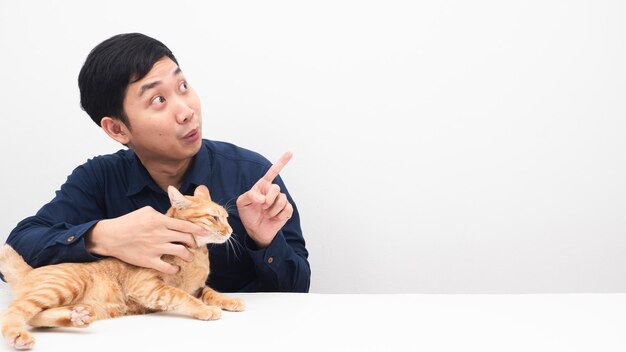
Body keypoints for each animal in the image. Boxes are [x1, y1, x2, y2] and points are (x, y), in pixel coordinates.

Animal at [0, 186, 244, 350]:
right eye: (214, 218)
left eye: (226, 217)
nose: (231, 230)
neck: (196, 257)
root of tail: (30, 270)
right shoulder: (149, 287)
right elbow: (181, 296)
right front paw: (206, 310)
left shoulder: (197, 287)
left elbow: (211, 292)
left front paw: (230, 300)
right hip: (64, 286)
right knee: (15, 311)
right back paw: (18, 335)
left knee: (35, 317)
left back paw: (76, 317)